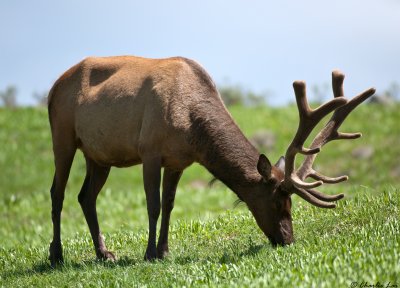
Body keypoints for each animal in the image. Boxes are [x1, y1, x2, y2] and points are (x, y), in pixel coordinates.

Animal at [47, 55, 376, 266]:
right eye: (277, 202)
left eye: (291, 203)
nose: (288, 239)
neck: (191, 126)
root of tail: (53, 87)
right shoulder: (149, 150)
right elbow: (153, 205)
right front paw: (149, 253)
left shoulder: (177, 161)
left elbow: (169, 205)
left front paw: (164, 251)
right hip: (62, 134)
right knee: (57, 192)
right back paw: (56, 255)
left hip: (98, 154)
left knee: (85, 196)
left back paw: (104, 253)